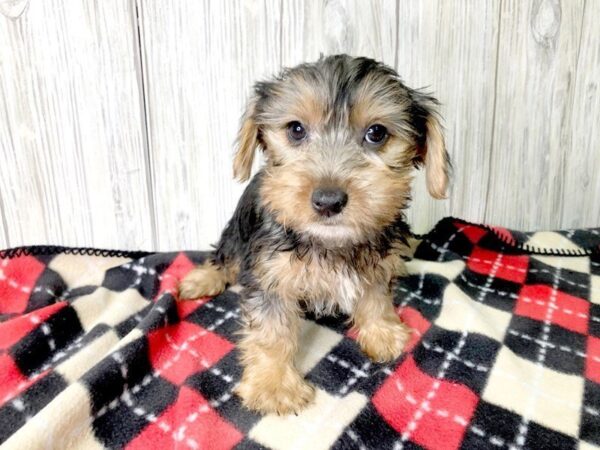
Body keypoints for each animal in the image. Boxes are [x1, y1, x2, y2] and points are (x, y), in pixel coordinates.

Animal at [179, 53, 450, 414]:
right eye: (296, 129)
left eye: (377, 133)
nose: (328, 200)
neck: (331, 243)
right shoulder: (270, 274)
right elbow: (271, 329)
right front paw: (274, 385)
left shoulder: (377, 261)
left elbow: (376, 295)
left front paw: (382, 332)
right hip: (236, 235)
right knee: (224, 258)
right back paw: (201, 280)